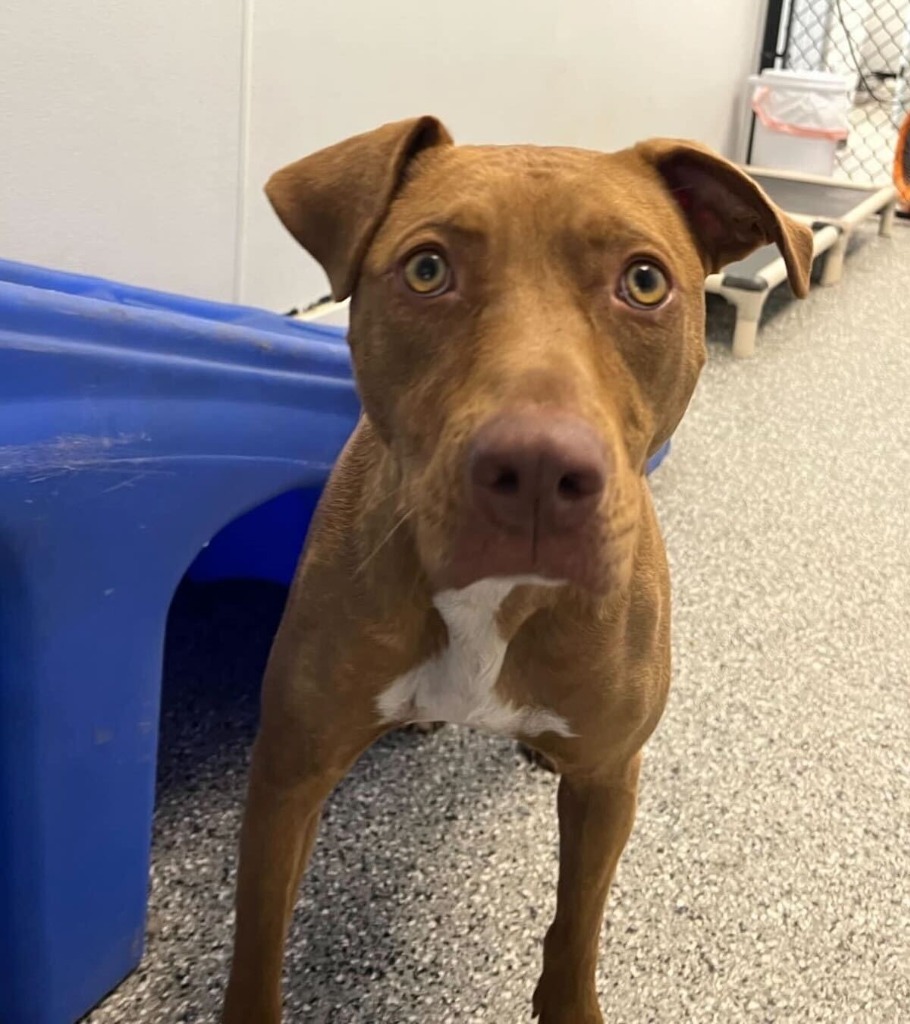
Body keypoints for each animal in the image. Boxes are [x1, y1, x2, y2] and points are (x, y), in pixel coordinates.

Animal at [222, 116, 810, 1019]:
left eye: (645, 282)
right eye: (427, 268)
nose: (537, 471)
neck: (493, 605)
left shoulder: (608, 780)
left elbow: (577, 926)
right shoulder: (290, 770)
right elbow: (257, 943)